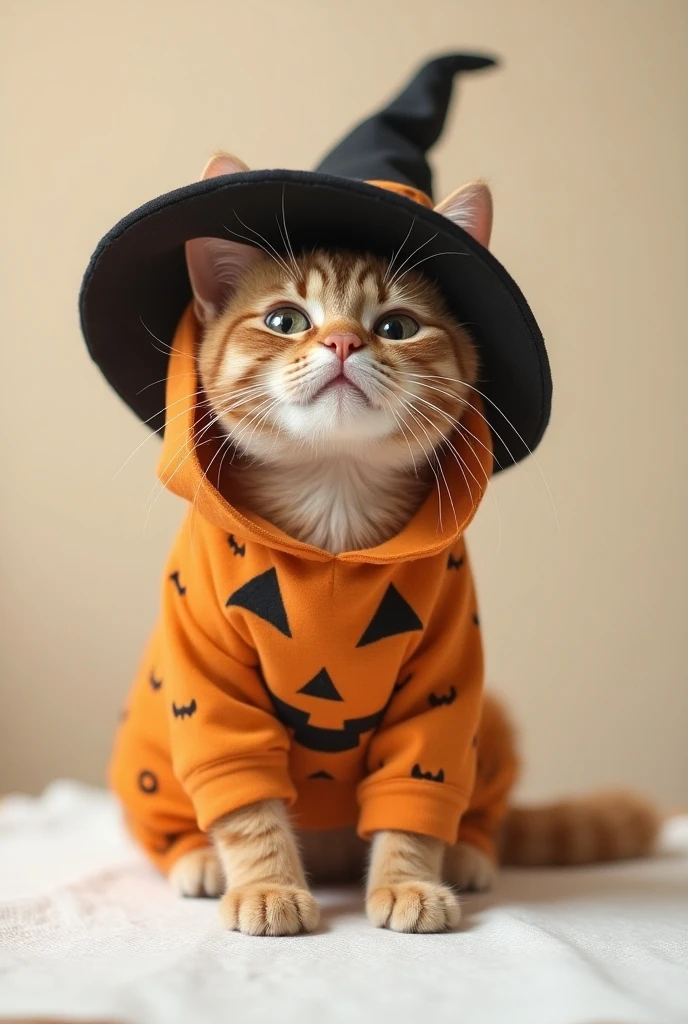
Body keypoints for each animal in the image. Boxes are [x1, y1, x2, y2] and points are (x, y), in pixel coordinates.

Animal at [153, 153, 659, 937]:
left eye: (397, 325)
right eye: (284, 320)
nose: (342, 342)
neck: (333, 507)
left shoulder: (446, 678)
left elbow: (418, 787)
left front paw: (409, 880)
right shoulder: (204, 680)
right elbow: (243, 795)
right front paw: (266, 883)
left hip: (493, 720)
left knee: (479, 811)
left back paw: (472, 851)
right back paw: (196, 858)